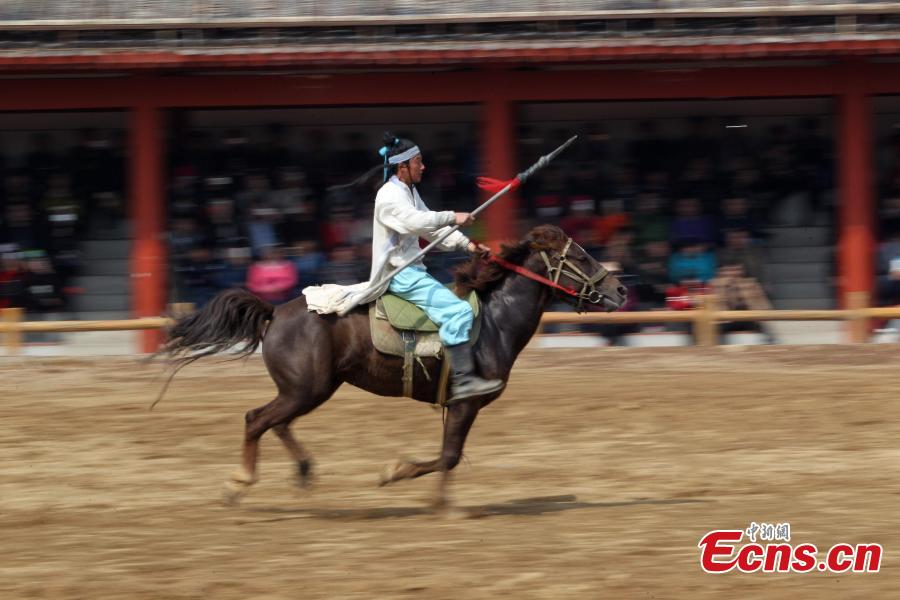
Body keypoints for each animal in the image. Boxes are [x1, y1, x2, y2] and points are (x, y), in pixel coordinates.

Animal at [160, 224, 624, 506]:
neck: (493, 320)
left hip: (309, 389)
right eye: (581, 257)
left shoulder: (458, 406)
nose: (620, 290)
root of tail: (275, 311)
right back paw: (239, 483)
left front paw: (436, 497)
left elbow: (449, 456)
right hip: (305, 388)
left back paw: (304, 472)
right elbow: (449, 456)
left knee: (276, 422)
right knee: (257, 419)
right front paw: (399, 475)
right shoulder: (465, 402)